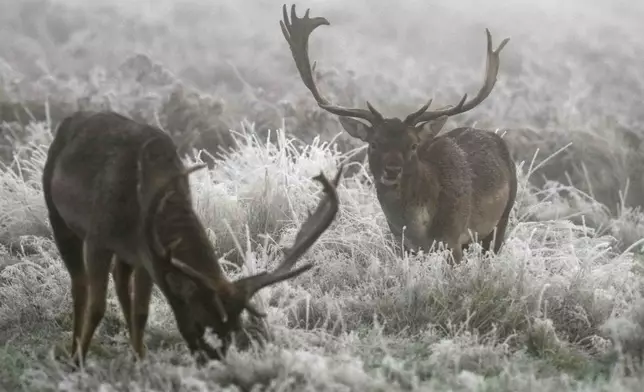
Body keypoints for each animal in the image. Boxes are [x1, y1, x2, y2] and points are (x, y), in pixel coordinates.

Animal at [41, 109, 342, 364]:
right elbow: (97, 306)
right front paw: (79, 361)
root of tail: (70, 120)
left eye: (237, 325)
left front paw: (141, 361)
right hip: (57, 215)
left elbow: (142, 312)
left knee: (120, 283)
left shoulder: (147, 254)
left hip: (126, 255)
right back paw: (73, 350)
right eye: (201, 320)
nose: (215, 359)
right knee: (79, 285)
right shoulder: (98, 238)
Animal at [280, 3, 516, 264]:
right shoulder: (402, 245)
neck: (420, 227)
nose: (392, 170)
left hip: (502, 218)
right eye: (374, 143)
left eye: (413, 145)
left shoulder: (453, 240)